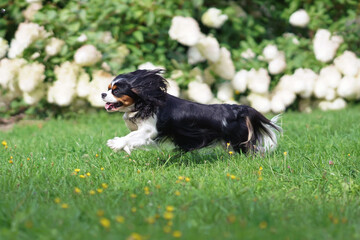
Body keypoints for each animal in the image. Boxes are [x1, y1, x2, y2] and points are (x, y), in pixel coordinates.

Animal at [101, 69, 282, 156]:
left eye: (116, 91)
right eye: (108, 89)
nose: (102, 94)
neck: (146, 102)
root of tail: (239, 109)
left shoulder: (149, 130)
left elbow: (131, 136)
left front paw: (116, 143)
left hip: (239, 140)